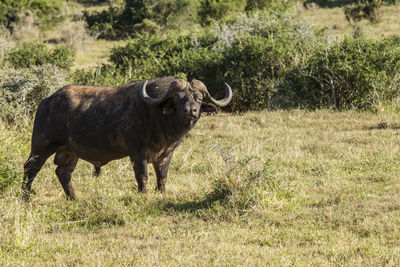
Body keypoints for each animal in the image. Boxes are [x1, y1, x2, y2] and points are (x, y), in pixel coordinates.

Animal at [21, 76, 233, 200]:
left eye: (198, 98)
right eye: (178, 98)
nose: (191, 111)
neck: (160, 119)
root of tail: (46, 101)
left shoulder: (166, 154)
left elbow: (162, 176)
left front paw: (161, 193)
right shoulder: (137, 153)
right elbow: (143, 176)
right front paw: (143, 195)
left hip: (70, 153)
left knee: (63, 173)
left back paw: (73, 198)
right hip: (42, 146)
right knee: (30, 168)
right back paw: (26, 196)